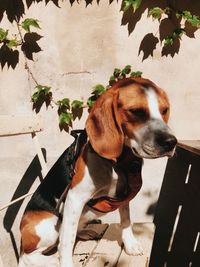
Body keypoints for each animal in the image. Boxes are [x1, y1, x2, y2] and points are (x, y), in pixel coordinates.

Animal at [17, 77, 177, 267]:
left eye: (164, 110)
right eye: (136, 112)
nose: (171, 142)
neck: (117, 162)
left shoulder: (124, 193)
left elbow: (126, 220)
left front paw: (130, 245)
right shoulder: (74, 198)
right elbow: (67, 242)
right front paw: (65, 261)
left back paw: (84, 233)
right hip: (49, 224)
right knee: (30, 255)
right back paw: (53, 259)